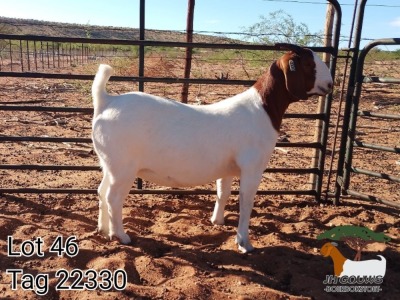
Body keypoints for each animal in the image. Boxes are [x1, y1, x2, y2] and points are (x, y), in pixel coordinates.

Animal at [92, 43, 332, 252]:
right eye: (309, 64)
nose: (330, 84)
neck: (262, 109)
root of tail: (106, 101)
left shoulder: (227, 169)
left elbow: (223, 192)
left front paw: (217, 221)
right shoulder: (252, 168)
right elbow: (246, 201)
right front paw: (245, 243)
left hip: (109, 164)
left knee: (102, 191)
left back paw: (103, 230)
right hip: (123, 167)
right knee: (113, 198)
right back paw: (121, 236)